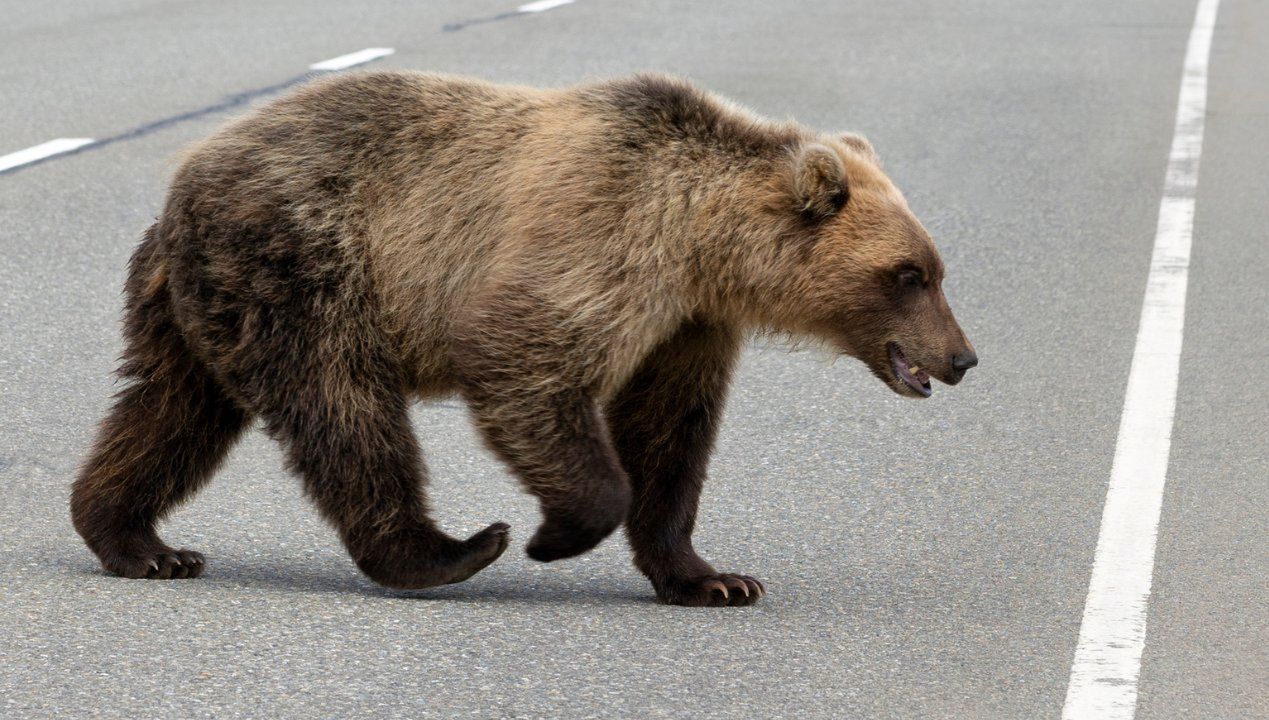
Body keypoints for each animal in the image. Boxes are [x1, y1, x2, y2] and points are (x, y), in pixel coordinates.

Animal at [69, 68, 974, 609]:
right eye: (906, 274)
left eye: (934, 267)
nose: (962, 358)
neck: (702, 242)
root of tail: (183, 181)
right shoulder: (601, 240)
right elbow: (523, 360)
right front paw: (552, 534)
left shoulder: (684, 324)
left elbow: (669, 436)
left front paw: (712, 577)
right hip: (304, 263)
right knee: (343, 406)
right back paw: (450, 549)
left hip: (200, 305)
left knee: (170, 409)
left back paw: (137, 539)